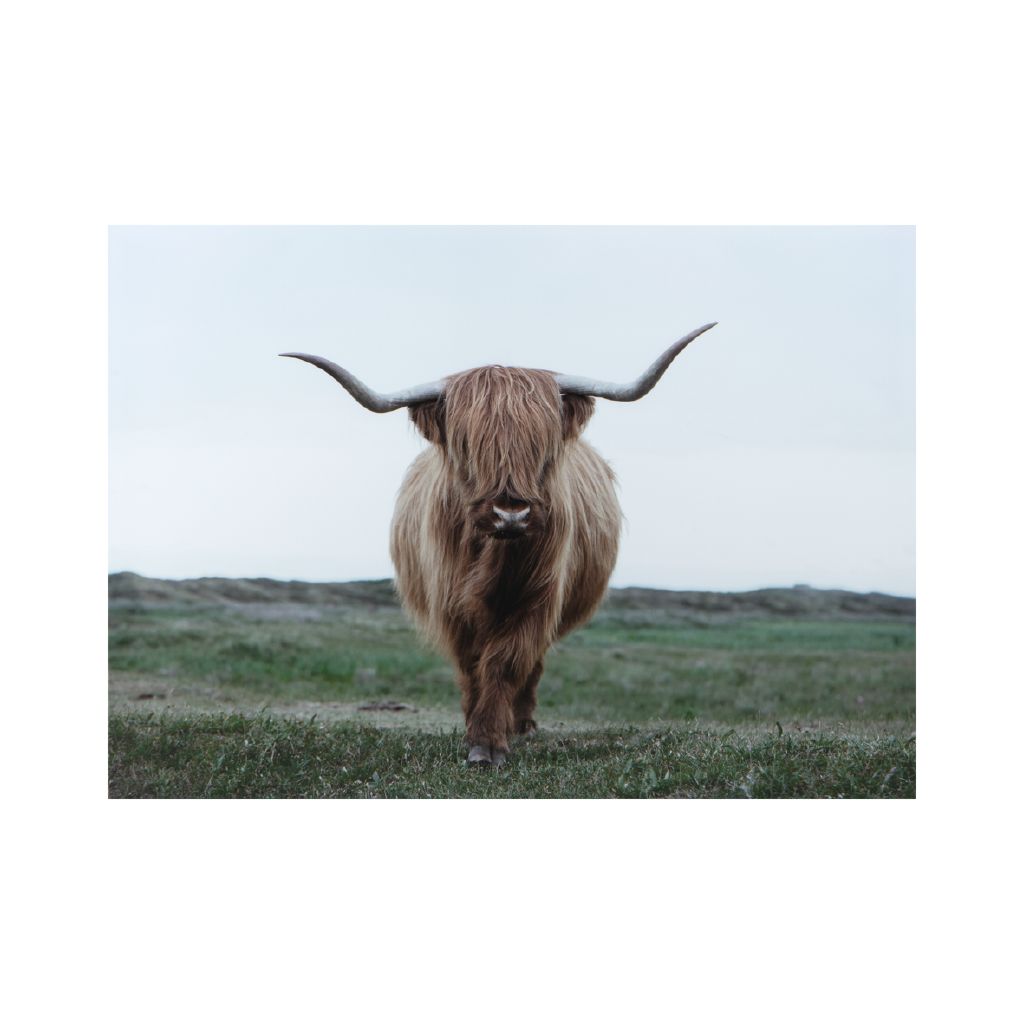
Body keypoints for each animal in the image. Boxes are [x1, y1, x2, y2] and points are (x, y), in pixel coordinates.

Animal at [282, 322, 717, 766]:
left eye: (542, 446)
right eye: (467, 446)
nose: (511, 514)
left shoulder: (537, 599)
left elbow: (506, 663)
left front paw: (490, 741)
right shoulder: (451, 604)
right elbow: (471, 665)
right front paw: (475, 733)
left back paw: (521, 724)